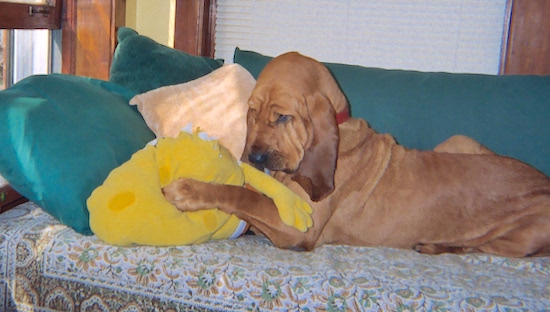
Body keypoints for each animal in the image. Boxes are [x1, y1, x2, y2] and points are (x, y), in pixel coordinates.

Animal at [166, 50, 550, 256]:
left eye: (282, 117)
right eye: (252, 113)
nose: (255, 159)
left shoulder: (296, 229)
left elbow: (241, 196)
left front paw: (189, 190)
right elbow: (248, 193)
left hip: (515, 238)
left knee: (478, 246)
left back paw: (433, 246)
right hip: (459, 141)